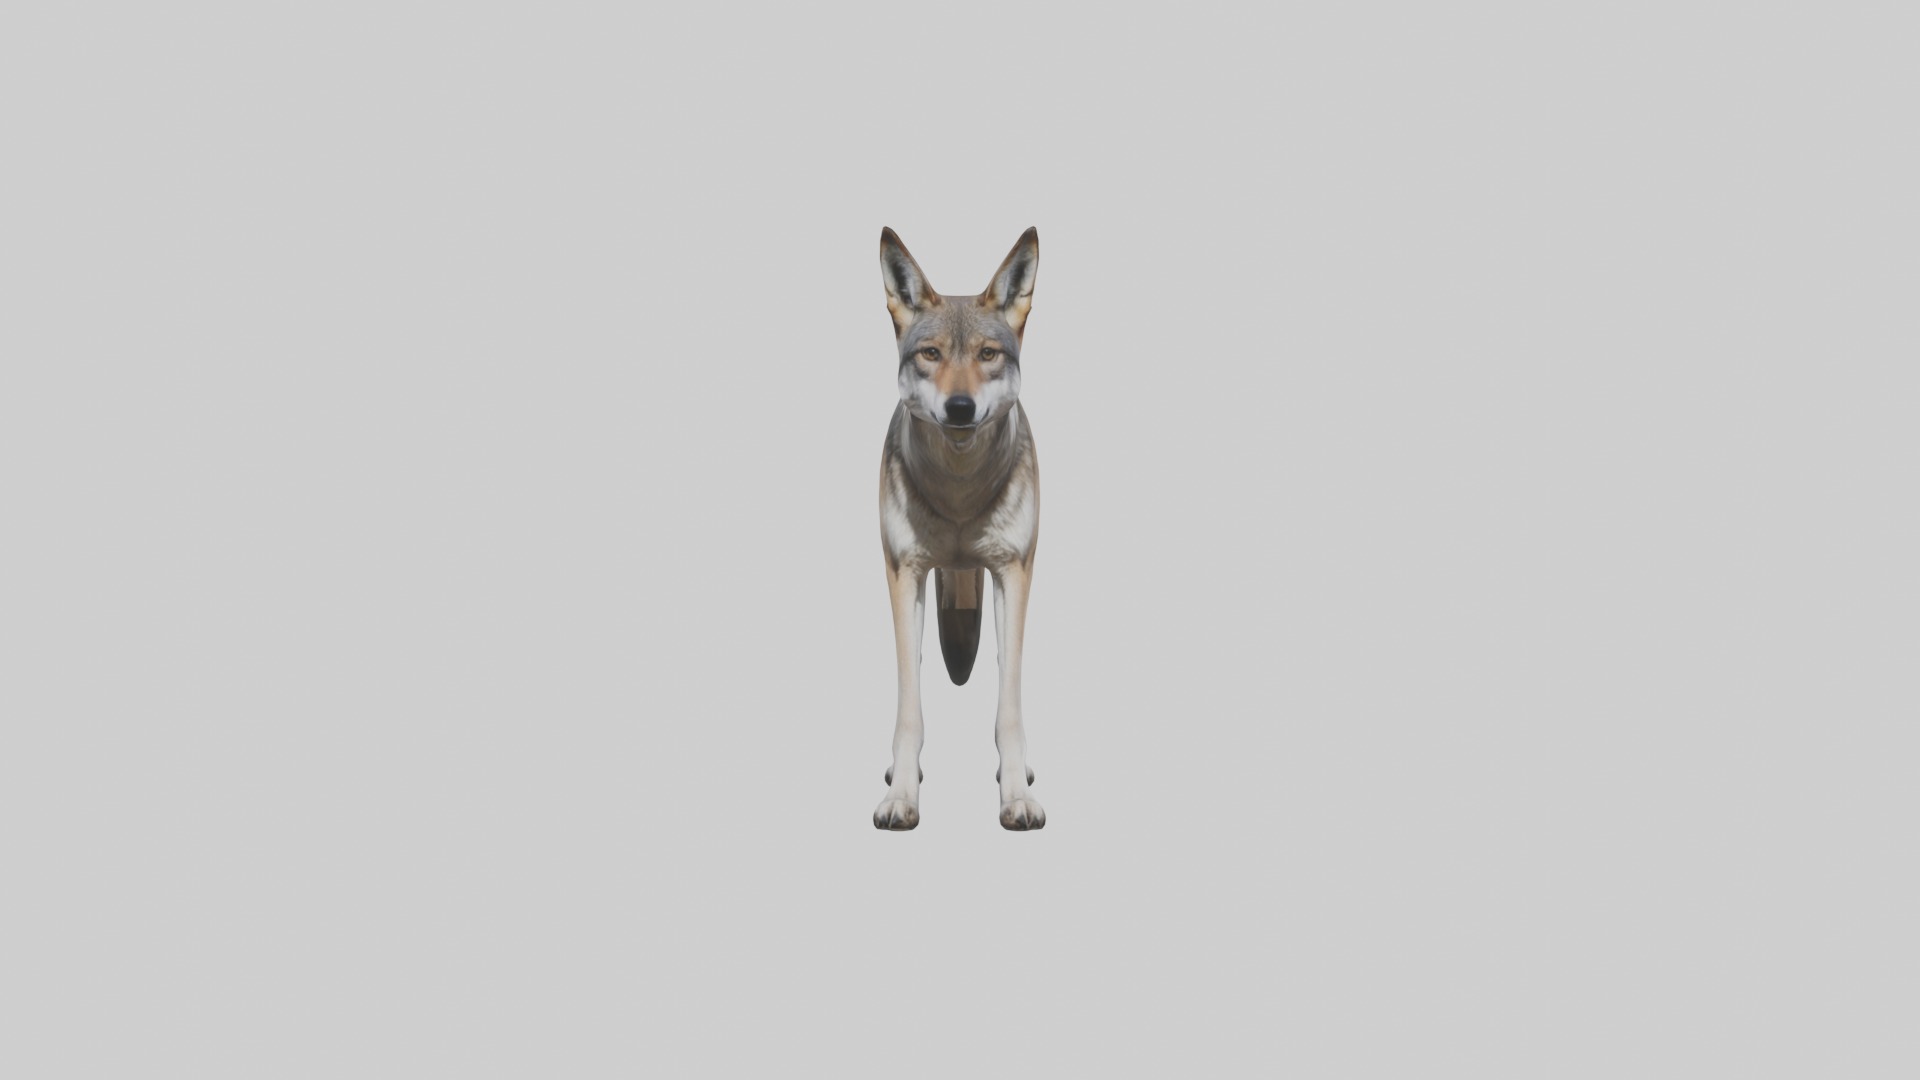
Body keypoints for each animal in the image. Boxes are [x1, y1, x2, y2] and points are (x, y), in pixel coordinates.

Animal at [873, 226, 1045, 831]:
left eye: (987, 354)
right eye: (931, 354)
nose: (961, 407)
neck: (959, 496)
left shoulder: (1013, 573)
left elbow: (1010, 708)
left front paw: (1017, 797)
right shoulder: (904, 575)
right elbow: (909, 709)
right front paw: (901, 796)